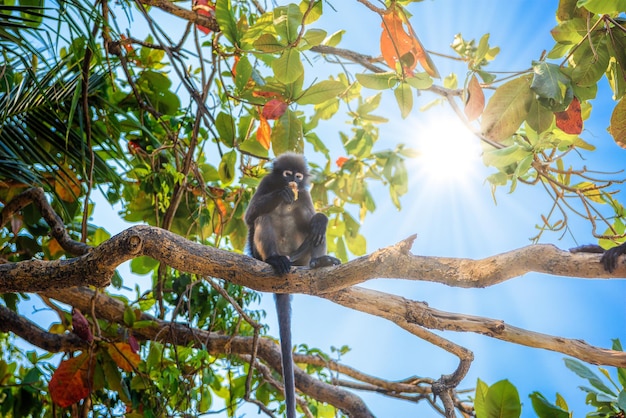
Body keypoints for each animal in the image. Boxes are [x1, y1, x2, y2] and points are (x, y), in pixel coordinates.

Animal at [245, 153, 342, 418]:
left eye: (299, 176)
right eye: (287, 174)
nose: (293, 182)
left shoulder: (305, 194)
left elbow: (313, 215)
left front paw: (320, 219)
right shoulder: (266, 183)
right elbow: (249, 216)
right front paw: (282, 194)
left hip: (300, 258)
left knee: (314, 227)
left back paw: (319, 261)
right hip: (263, 253)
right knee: (262, 217)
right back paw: (275, 260)